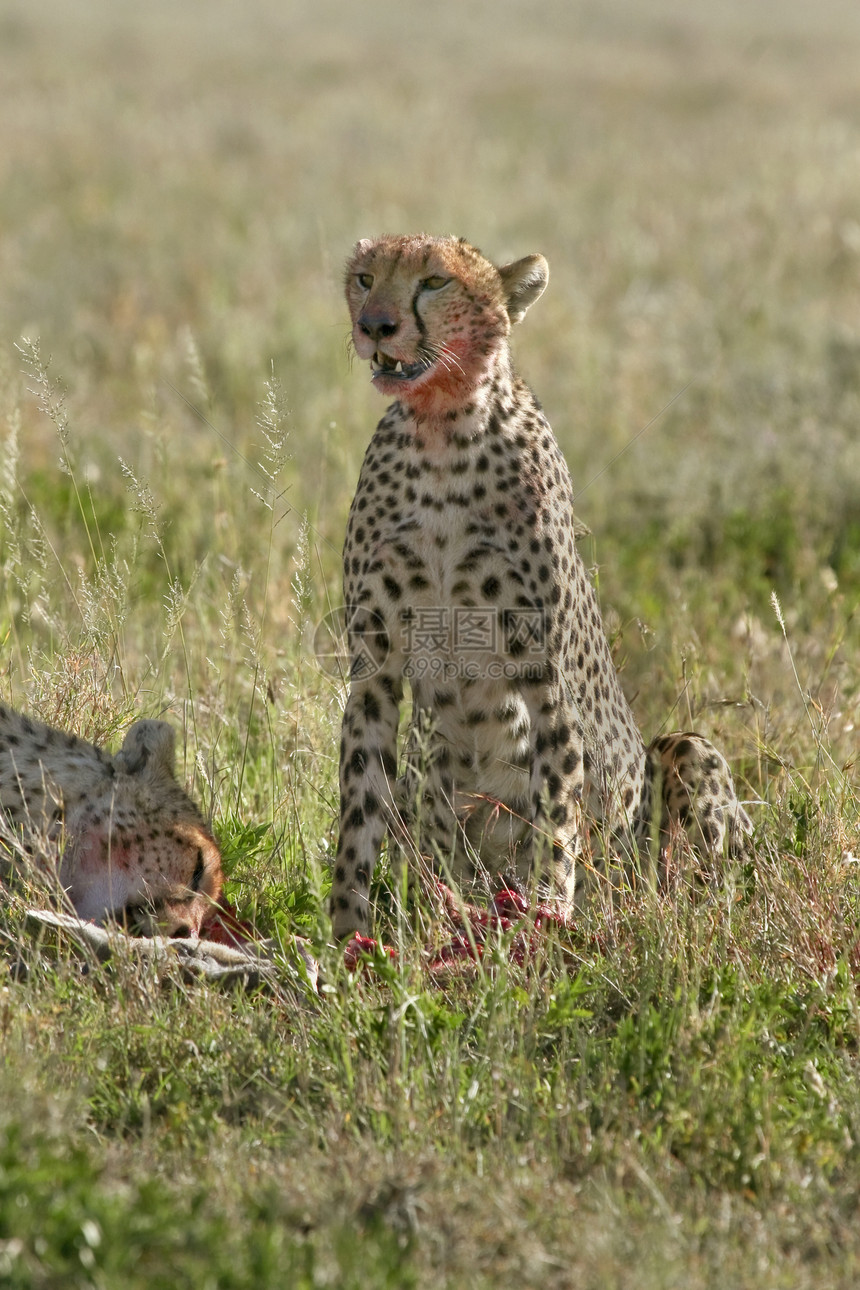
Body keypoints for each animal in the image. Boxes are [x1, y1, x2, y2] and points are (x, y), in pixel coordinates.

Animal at [332, 232, 752, 939]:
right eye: (365, 277)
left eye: (434, 282)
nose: (375, 326)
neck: (442, 428)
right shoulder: (375, 671)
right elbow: (358, 813)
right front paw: (344, 941)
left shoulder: (545, 672)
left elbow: (555, 813)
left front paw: (549, 916)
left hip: (678, 769)